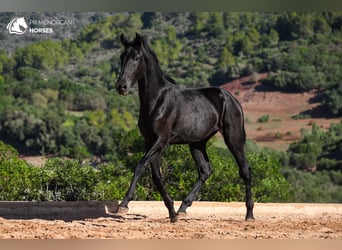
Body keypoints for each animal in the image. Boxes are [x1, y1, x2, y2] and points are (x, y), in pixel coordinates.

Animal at [115, 33, 254, 223]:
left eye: (136, 58)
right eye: (122, 57)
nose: (121, 87)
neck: (157, 101)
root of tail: (231, 98)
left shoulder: (161, 141)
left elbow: (140, 166)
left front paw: (123, 205)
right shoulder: (150, 142)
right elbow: (156, 176)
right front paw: (172, 212)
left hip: (233, 138)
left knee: (245, 170)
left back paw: (249, 215)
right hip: (197, 143)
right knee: (205, 171)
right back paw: (182, 209)